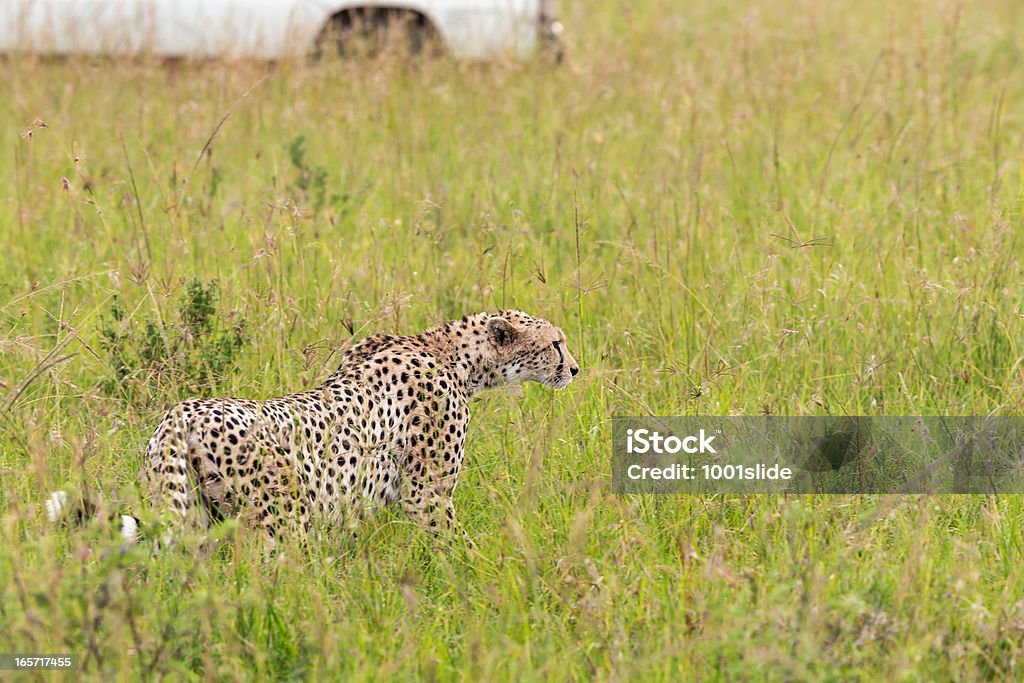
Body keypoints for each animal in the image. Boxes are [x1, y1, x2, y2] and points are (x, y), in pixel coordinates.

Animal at [49, 311, 577, 544]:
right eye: (555, 344)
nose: (574, 368)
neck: (450, 352)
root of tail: (183, 410)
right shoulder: (425, 494)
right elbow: (449, 539)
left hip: (197, 517)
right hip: (282, 519)